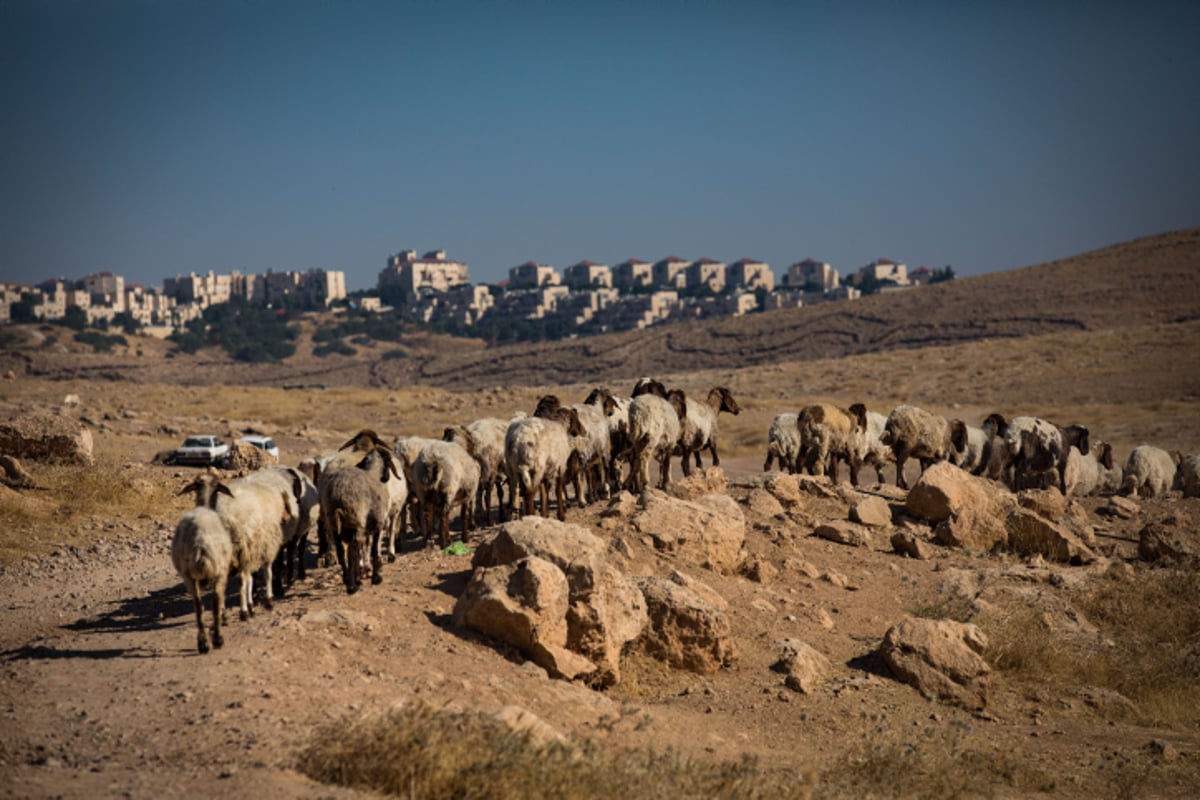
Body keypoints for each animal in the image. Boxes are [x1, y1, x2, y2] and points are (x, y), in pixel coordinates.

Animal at [171, 474, 234, 652]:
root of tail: (201, 541)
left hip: (188, 575)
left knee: (198, 607)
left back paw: (204, 642)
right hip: (218, 571)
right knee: (214, 603)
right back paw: (216, 639)